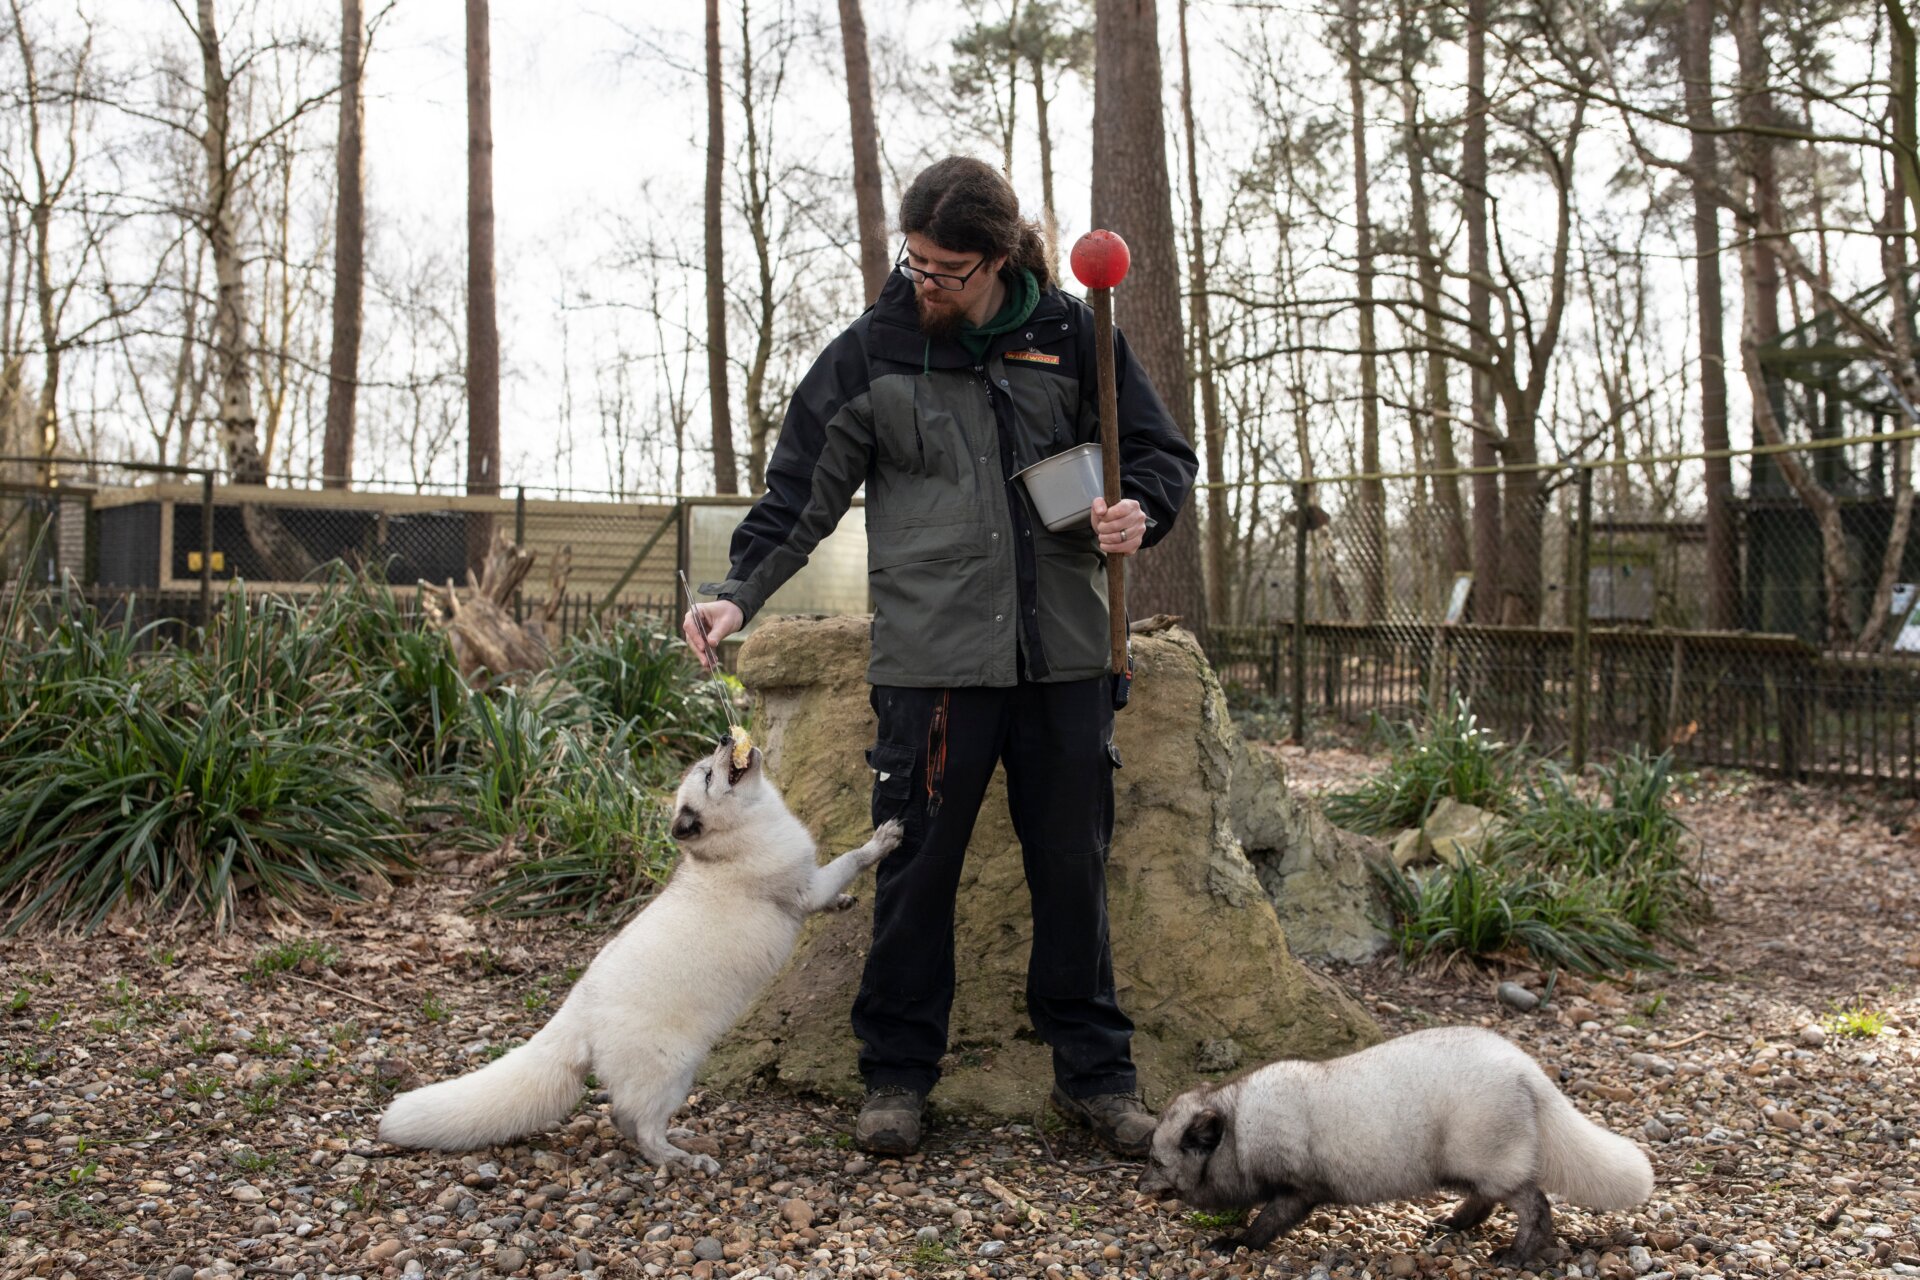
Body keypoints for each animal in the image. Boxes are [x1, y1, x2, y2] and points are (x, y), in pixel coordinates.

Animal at [378, 737, 902, 1173]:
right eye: (708, 775)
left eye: (709, 762)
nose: (725, 737)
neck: (736, 841)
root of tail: (577, 1009)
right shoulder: (805, 888)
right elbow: (849, 861)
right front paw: (881, 841)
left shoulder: (812, 889)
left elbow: (836, 891)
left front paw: (845, 903)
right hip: (672, 1072)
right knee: (637, 1125)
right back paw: (679, 1159)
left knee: (622, 1119)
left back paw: (682, 1140)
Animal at [1137, 1026, 1654, 1265]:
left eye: (1156, 1161)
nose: (1138, 1186)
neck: (1241, 1129)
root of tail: (1524, 1066)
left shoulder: (1299, 1190)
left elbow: (1267, 1221)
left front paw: (1238, 1241)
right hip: (1465, 1167)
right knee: (1484, 1201)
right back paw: (1452, 1225)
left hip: (1486, 1161)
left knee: (1536, 1205)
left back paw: (1517, 1254)